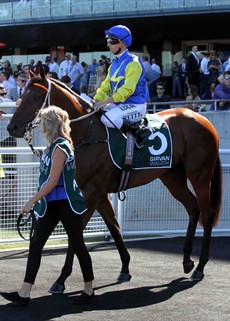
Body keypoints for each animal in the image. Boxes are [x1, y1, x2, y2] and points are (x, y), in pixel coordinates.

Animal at [7, 68, 222, 292]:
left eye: (36, 96)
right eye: (23, 94)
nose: (12, 127)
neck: (88, 134)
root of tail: (204, 121)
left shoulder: (91, 192)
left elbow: (77, 233)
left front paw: (61, 279)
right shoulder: (99, 193)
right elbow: (114, 226)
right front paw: (125, 269)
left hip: (200, 175)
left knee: (207, 214)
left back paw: (200, 266)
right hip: (173, 178)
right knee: (193, 208)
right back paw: (187, 260)